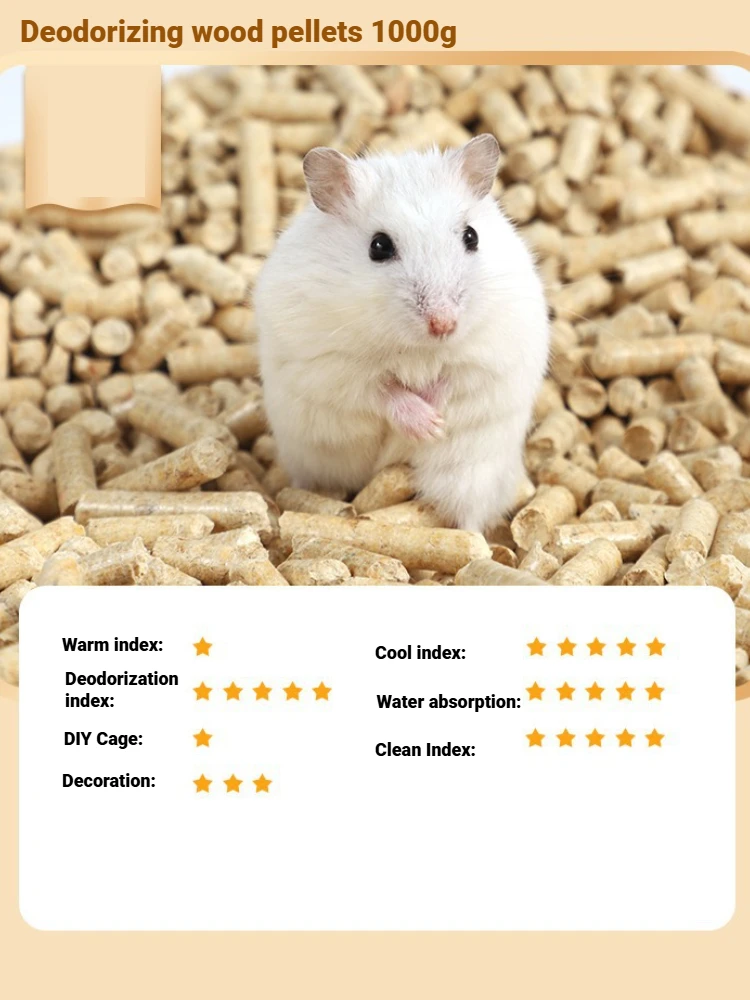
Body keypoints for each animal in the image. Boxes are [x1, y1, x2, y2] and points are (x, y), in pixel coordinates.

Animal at [254, 134, 549, 533]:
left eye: (471, 236)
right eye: (379, 246)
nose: (444, 324)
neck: (417, 349)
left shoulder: (491, 351)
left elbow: (452, 378)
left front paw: (435, 425)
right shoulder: (330, 366)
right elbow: (383, 389)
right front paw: (425, 425)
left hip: (472, 473)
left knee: (469, 517)